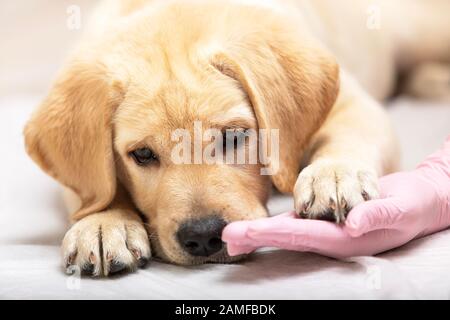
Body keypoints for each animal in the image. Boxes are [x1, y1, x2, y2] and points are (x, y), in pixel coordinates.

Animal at [23, 0, 450, 276]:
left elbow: (348, 136)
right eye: (141, 154)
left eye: (234, 137)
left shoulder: (353, 103)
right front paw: (102, 223)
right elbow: (93, 190)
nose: (202, 238)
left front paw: (332, 175)